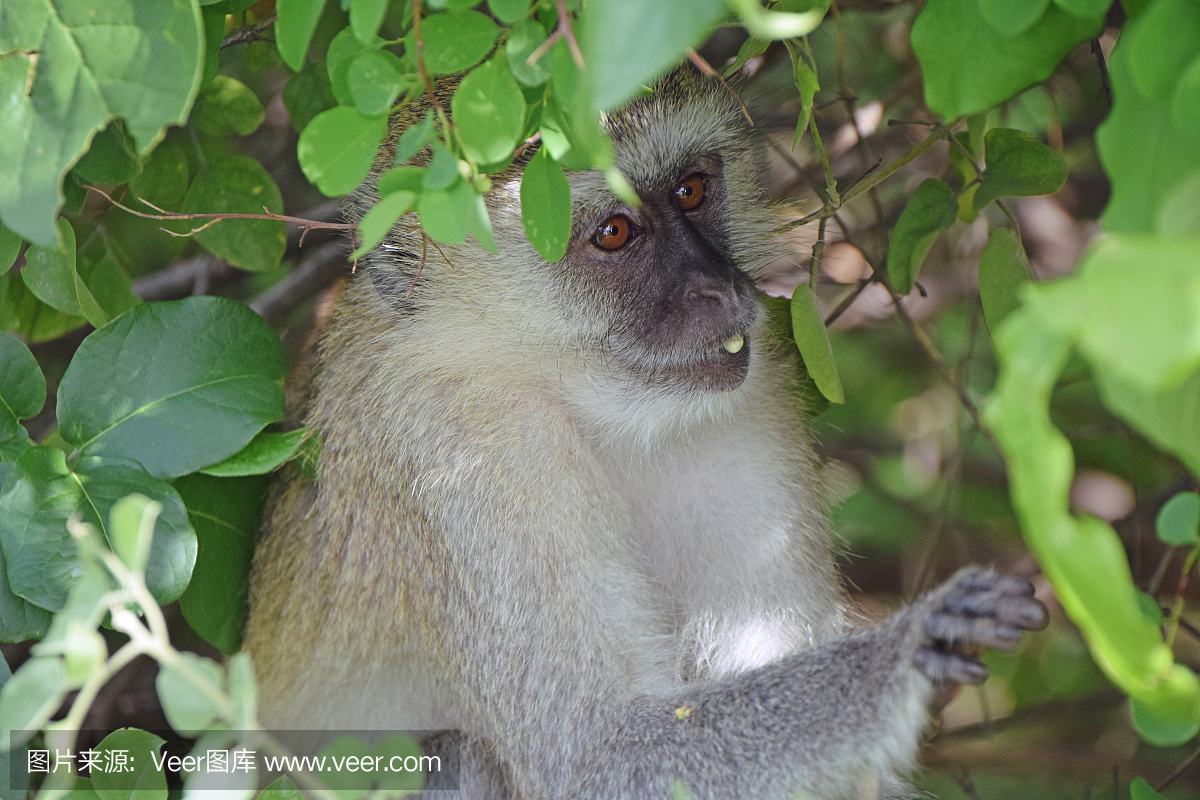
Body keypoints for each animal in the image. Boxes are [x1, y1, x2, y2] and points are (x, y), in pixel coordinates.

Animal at [241, 67, 1041, 800]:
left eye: (690, 191)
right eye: (614, 232)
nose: (720, 288)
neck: (579, 398)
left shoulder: (748, 406)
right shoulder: (464, 453)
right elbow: (603, 754)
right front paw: (914, 645)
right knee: (455, 756)